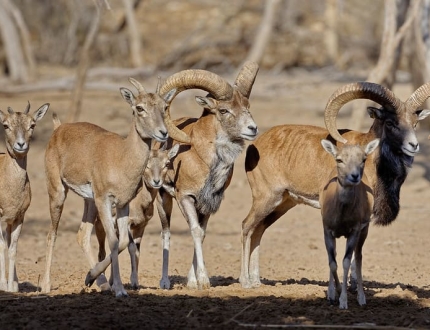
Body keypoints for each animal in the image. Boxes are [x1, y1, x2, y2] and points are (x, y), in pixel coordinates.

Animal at [318, 139, 378, 310]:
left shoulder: (355, 230)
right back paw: (331, 294)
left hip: (364, 230)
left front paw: (343, 301)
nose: (354, 176)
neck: (342, 216)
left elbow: (346, 262)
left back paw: (361, 298)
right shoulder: (327, 229)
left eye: (363, 159)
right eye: (339, 159)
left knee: (358, 257)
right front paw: (334, 294)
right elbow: (332, 262)